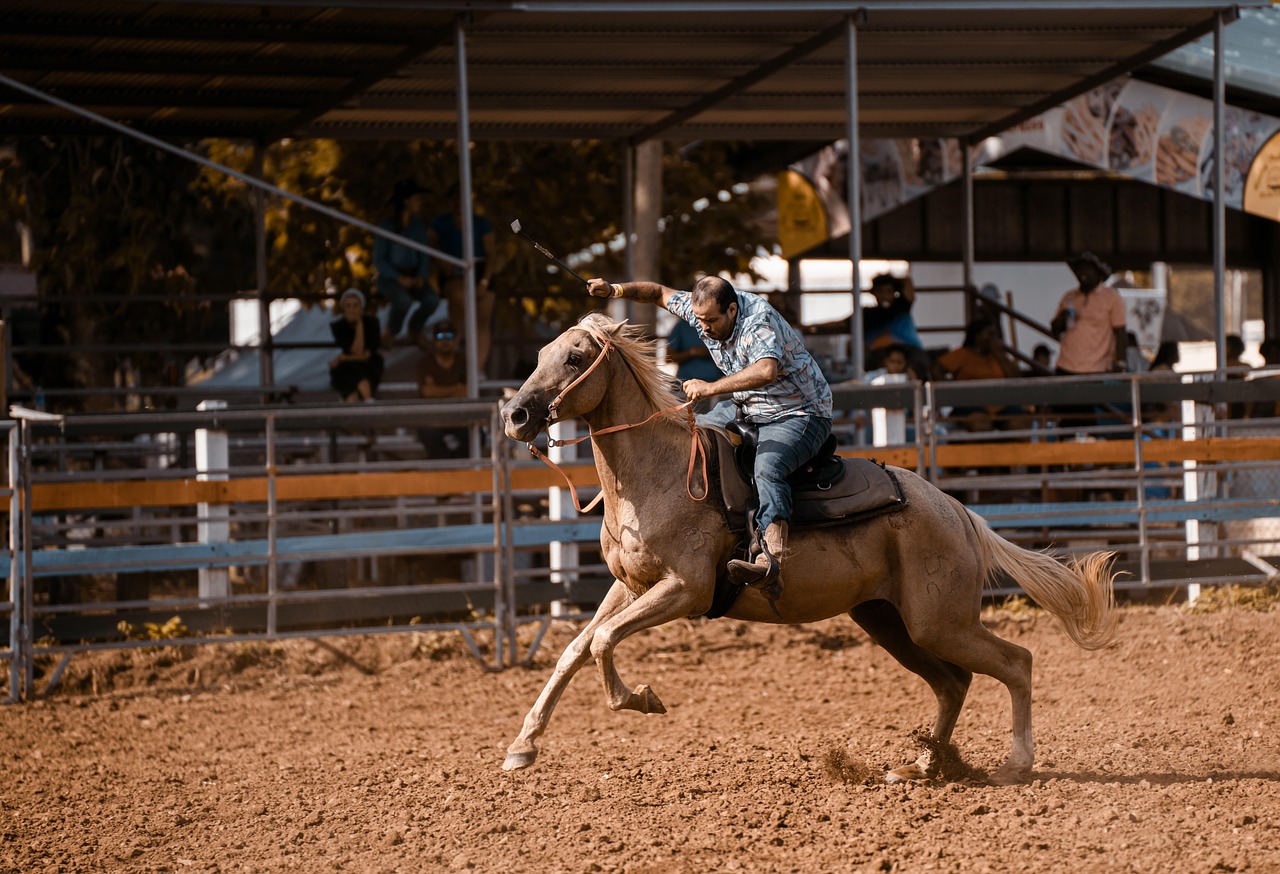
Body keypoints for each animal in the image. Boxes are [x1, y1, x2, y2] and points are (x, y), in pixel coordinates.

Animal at [499, 313, 1118, 784]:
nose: (516, 415)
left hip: (941, 622)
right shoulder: (629, 585)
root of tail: (959, 512)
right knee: (953, 683)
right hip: (891, 621)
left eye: (575, 358)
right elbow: (575, 649)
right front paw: (522, 746)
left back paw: (1014, 764)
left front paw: (644, 698)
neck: (660, 474)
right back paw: (922, 766)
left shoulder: (685, 589)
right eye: (542, 353)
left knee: (1016, 663)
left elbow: (604, 640)